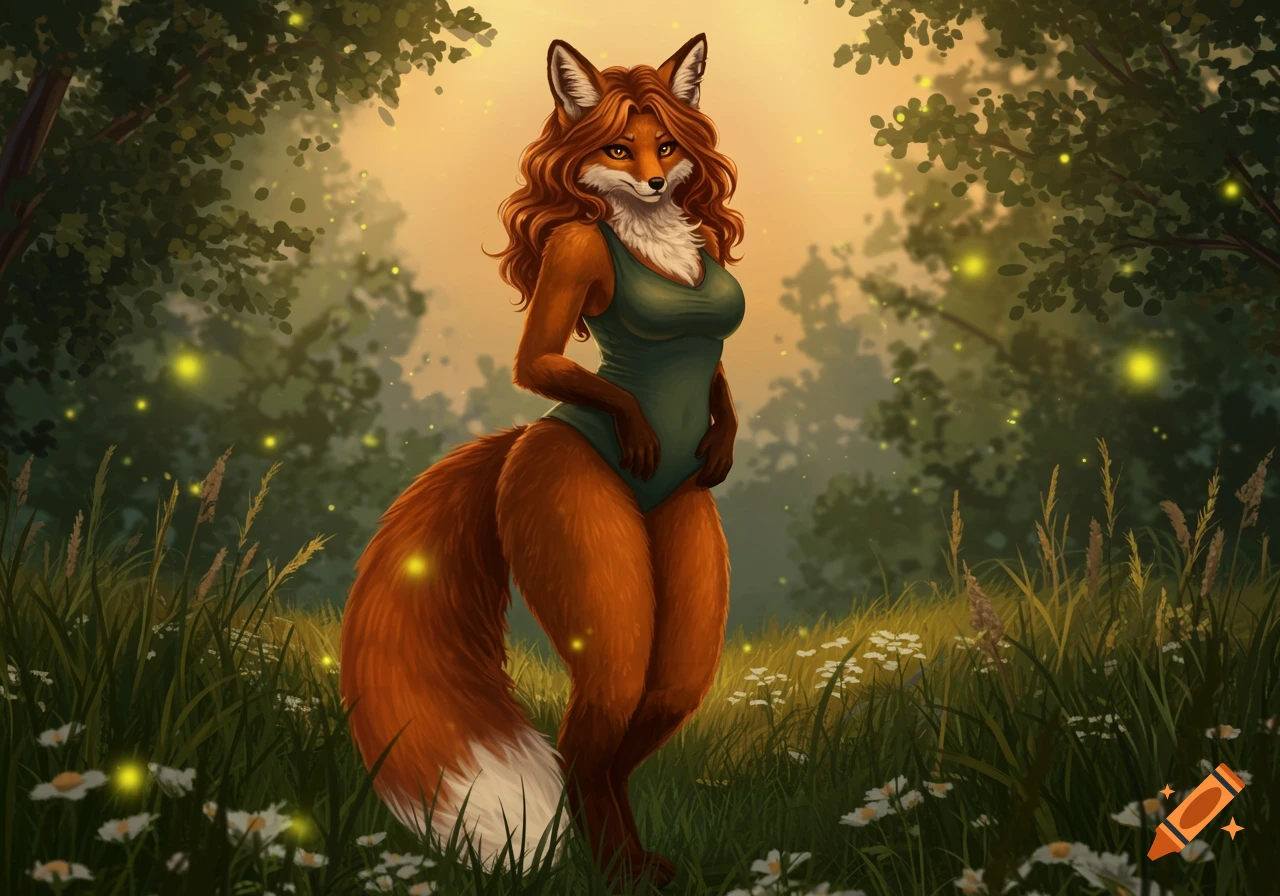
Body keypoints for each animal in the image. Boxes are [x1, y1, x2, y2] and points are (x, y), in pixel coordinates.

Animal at [340, 32, 746, 890]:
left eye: (668, 146)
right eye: (619, 147)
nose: (654, 181)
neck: (652, 240)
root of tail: (521, 441)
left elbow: (718, 375)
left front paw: (720, 436)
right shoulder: (572, 248)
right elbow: (541, 359)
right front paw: (637, 425)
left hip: (676, 573)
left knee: (641, 716)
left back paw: (637, 861)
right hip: (585, 542)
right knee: (587, 734)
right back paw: (613, 867)